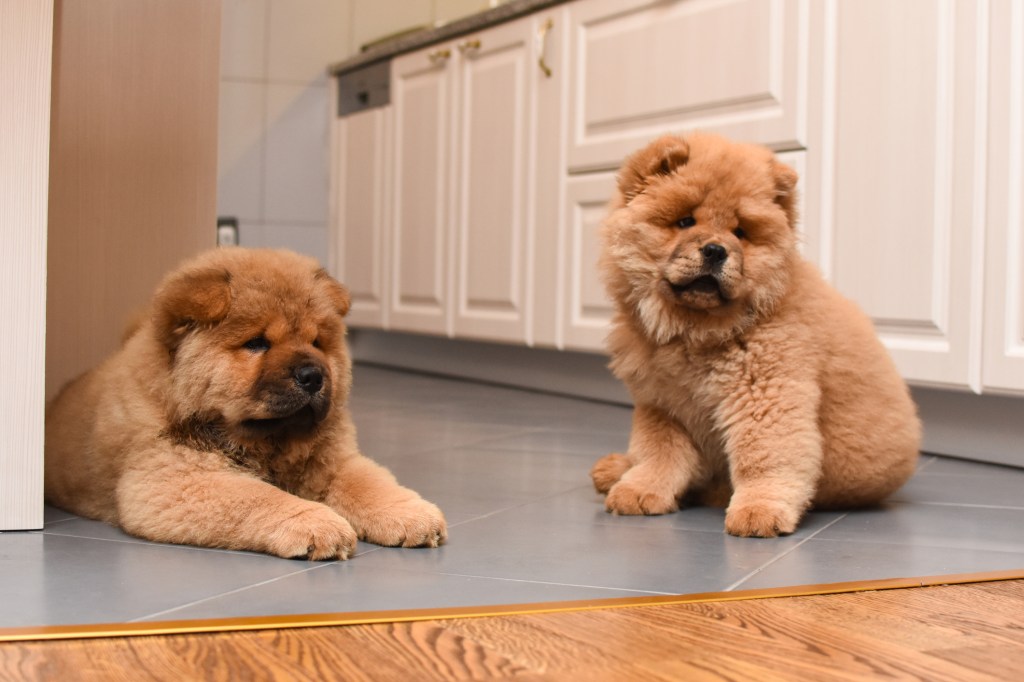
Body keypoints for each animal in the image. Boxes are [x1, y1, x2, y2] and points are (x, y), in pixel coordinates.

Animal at [45, 246, 444, 557]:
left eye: (317, 342)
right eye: (257, 343)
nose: (313, 375)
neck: (268, 443)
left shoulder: (333, 460)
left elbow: (369, 483)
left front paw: (413, 516)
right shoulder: (172, 480)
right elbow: (260, 496)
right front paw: (319, 524)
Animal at [593, 133, 921, 536]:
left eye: (740, 233)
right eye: (685, 221)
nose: (716, 250)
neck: (695, 332)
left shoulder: (763, 391)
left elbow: (763, 454)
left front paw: (759, 511)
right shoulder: (664, 404)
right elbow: (659, 452)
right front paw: (640, 490)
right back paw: (615, 468)